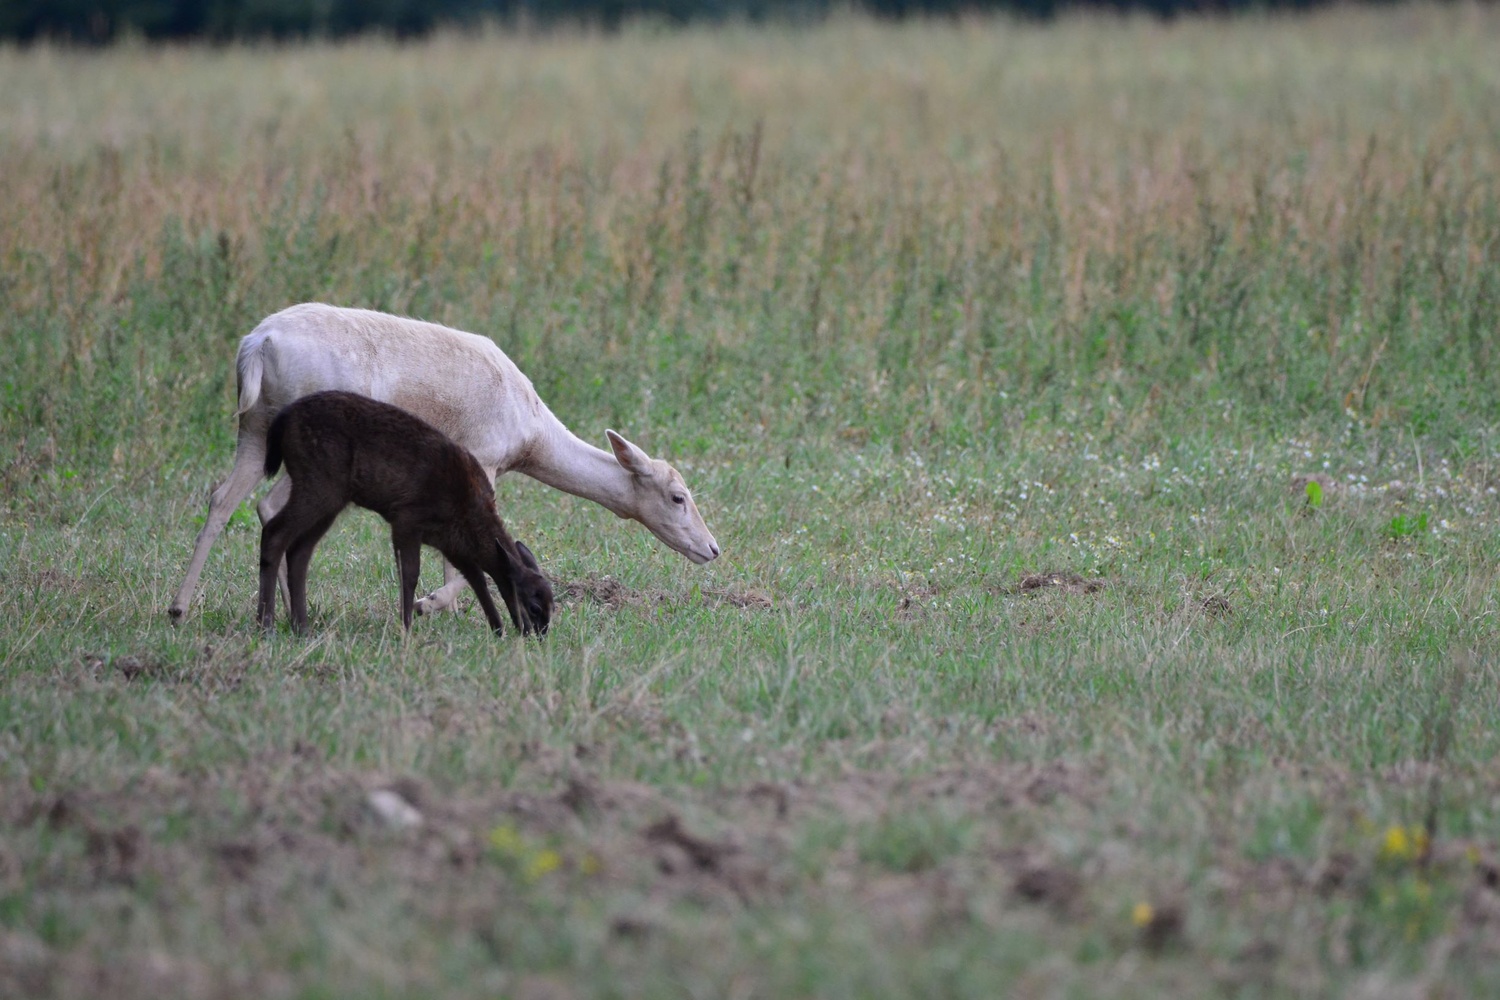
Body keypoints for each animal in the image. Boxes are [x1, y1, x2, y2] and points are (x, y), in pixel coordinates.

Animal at [258, 386, 558, 638]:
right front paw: (406, 627)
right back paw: (267, 625)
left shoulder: (450, 542)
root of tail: (282, 420)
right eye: (534, 606)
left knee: (299, 551)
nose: (538, 635)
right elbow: (410, 574)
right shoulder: (407, 518)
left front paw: (497, 629)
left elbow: (478, 579)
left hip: (330, 498)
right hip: (318, 481)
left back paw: (301, 627)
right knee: (275, 532)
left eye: (552, 604)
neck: (468, 513)